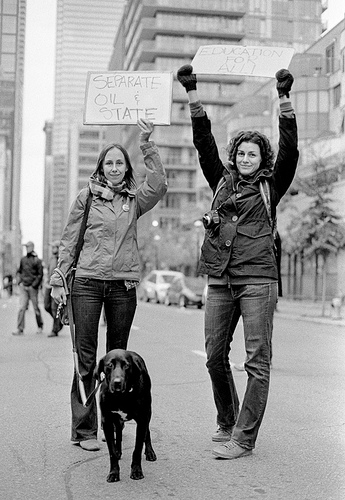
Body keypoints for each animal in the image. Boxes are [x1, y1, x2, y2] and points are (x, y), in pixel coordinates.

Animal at [95, 348, 157, 480]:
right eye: (109, 365)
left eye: (127, 365)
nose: (117, 382)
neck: (120, 396)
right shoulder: (107, 421)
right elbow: (112, 452)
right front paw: (113, 472)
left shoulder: (142, 419)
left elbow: (137, 449)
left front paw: (136, 471)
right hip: (117, 419)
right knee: (118, 432)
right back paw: (118, 451)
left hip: (148, 412)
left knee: (147, 431)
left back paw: (150, 452)